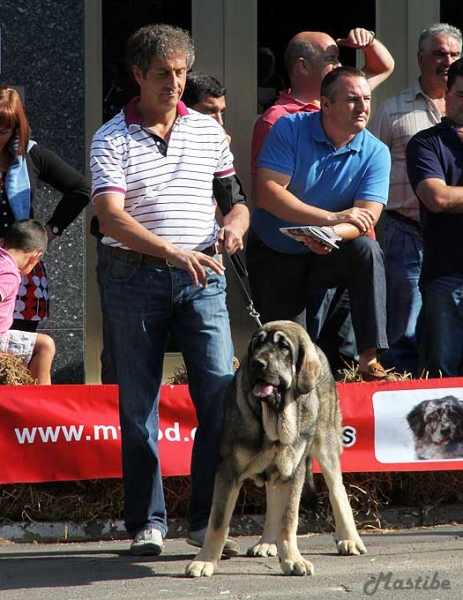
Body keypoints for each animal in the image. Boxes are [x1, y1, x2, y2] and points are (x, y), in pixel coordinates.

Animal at [185, 322, 366, 580]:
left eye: (283, 347)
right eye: (256, 344)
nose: (257, 363)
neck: (272, 416)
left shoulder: (293, 472)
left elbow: (288, 520)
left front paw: (293, 559)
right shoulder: (228, 472)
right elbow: (218, 522)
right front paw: (205, 560)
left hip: (325, 444)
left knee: (337, 490)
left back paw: (350, 539)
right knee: (272, 500)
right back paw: (267, 542)